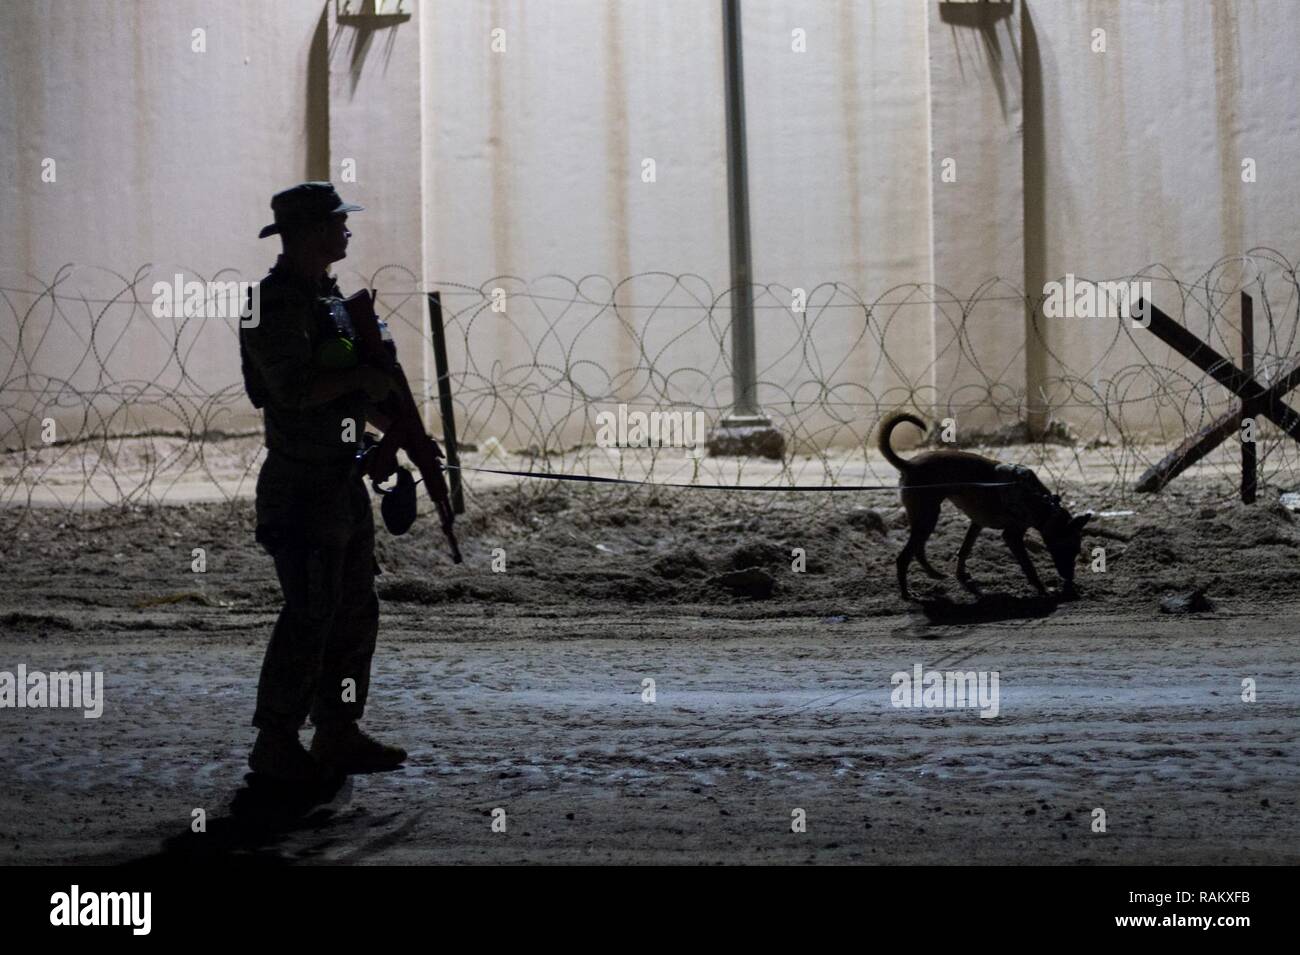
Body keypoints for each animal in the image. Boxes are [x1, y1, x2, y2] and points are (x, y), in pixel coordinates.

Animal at [878, 415, 1092, 600]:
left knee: (918, 550)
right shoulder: (1012, 536)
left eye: (1077, 551)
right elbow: (1029, 566)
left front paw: (962, 577)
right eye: (1070, 549)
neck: (1042, 503)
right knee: (904, 557)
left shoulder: (977, 524)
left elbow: (964, 550)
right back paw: (907, 594)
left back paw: (934, 574)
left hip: (925, 518)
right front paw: (1043, 589)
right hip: (927, 517)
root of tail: (909, 464)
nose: (1070, 578)